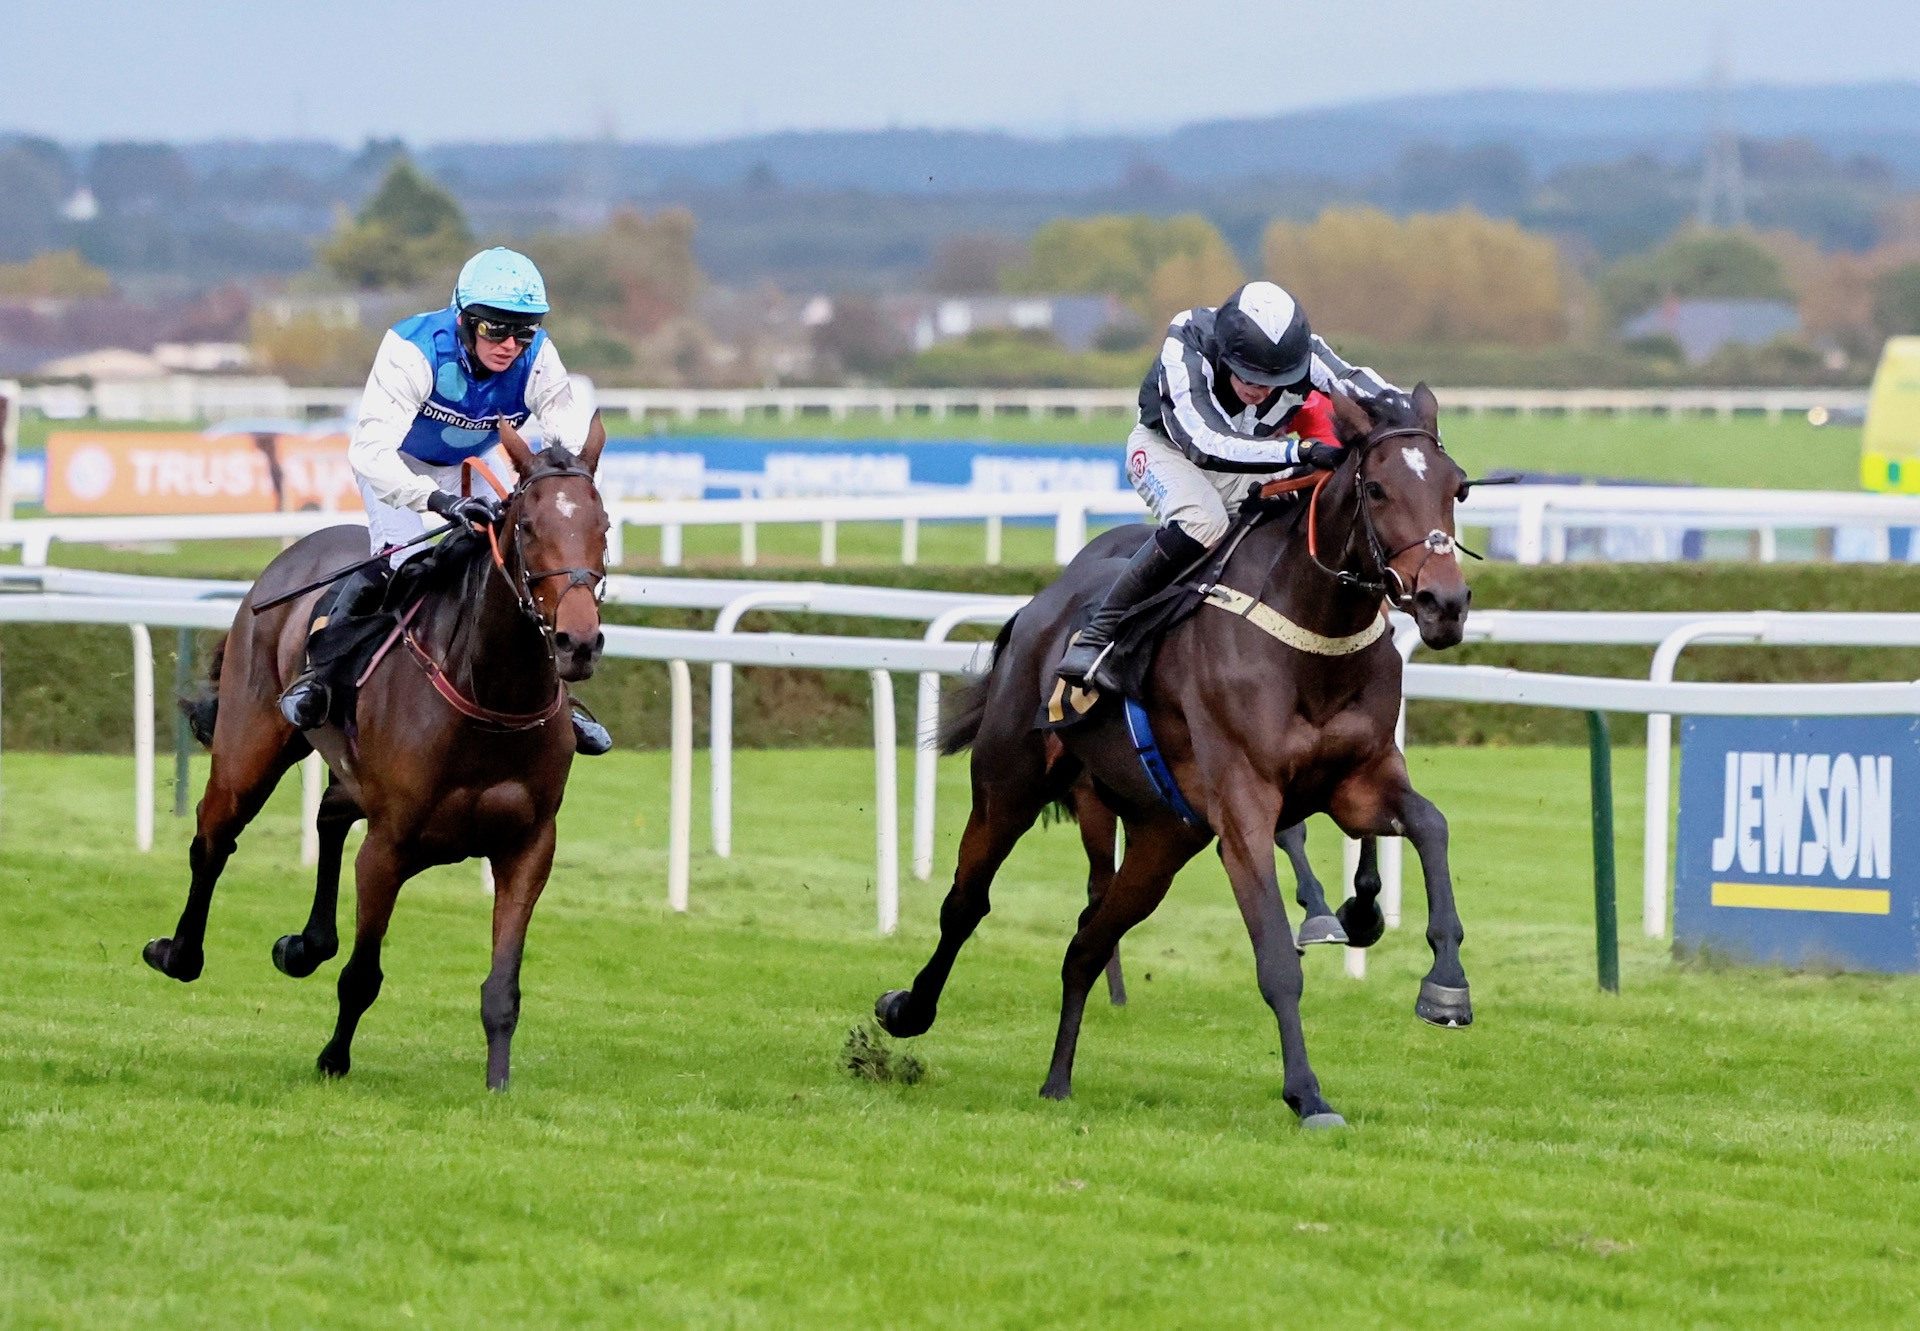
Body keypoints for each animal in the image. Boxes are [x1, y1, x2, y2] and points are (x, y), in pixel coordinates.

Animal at [143, 414, 606, 1090]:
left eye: (603, 527)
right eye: (526, 527)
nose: (578, 642)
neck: (489, 694)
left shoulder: (529, 844)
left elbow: (503, 988)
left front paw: (498, 1085)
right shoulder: (389, 845)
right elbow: (362, 975)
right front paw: (333, 1060)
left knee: (329, 815)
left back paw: (303, 945)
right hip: (249, 749)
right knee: (213, 840)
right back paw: (178, 953)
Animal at [879, 384, 1474, 1121]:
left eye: (1458, 488)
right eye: (1378, 488)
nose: (1444, 603)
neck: (1313, 638)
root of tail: (1037, 610)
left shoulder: (1358, 782)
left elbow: (1431, 825)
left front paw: (1444, 982)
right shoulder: (1243, 807)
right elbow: (1277, 958)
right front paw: (1308, 1094)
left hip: (1164, 836)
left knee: (1087, 942)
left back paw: (1057, 1081)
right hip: (1008, 786)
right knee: (966, 904)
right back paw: (907, 1009)